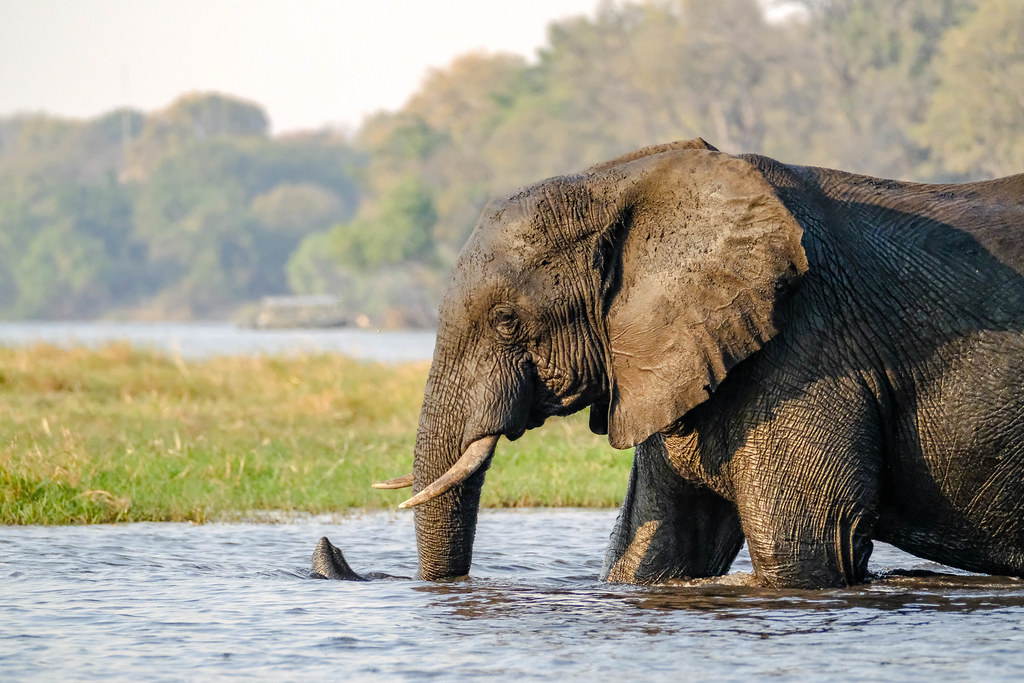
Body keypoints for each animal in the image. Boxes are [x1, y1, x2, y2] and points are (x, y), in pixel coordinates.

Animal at [315, 138, 1024, 588]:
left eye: (508, 322)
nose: (328, 546)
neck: (626, 183)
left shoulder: (809, 350)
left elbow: (808, 544)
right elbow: (656, 549)